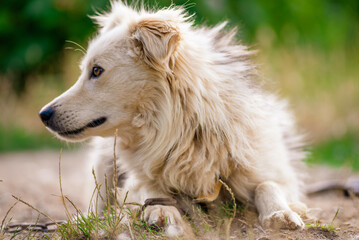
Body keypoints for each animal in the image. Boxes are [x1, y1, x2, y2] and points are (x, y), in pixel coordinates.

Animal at [40, 0, 308, 235]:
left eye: (96, 71)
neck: (186, 133)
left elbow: (267, 185)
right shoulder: (138, 177)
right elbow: (149, 188)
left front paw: (280, 213)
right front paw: (162, 211)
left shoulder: (269, 169)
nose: (43, 114)